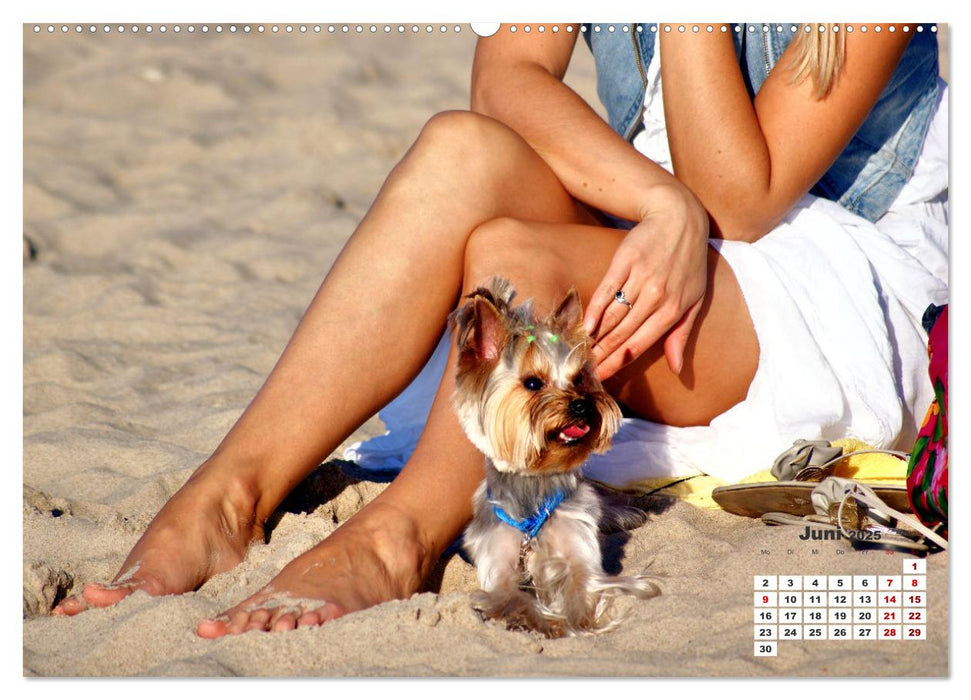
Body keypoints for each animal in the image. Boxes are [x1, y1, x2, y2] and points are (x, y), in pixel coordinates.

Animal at [452, 276, 656, 636]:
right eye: (533, 383)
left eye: (580, 378)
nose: (582, 404)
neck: (535, 489)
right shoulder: (497, 566)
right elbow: (512, 597)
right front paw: (538, 620)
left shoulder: (580, 550)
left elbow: (581, 586)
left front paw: (574, 623)